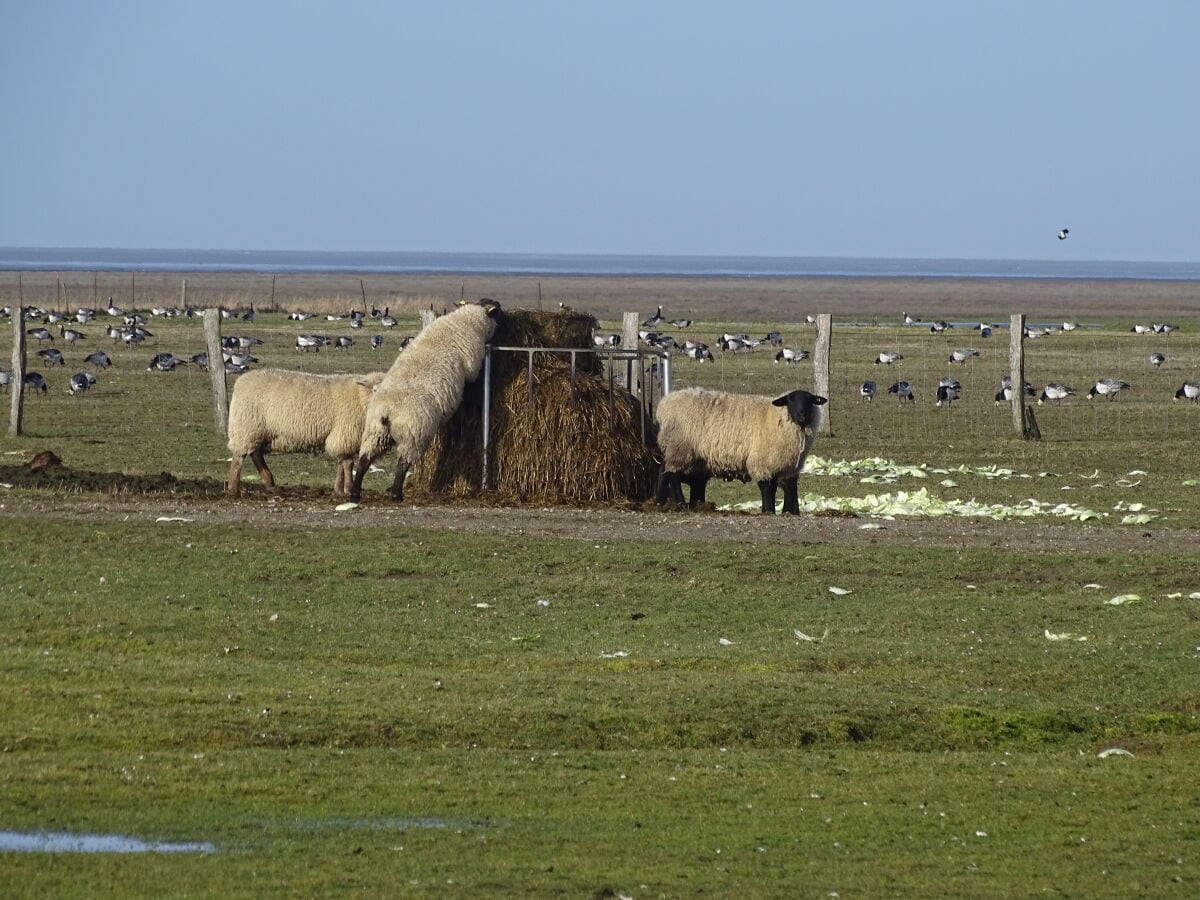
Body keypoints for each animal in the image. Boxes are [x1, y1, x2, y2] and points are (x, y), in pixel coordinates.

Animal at [226, 369, 386, 504]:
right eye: (375, 390)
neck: (360, 397)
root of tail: (241, 380)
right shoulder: (344, 433)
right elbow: (348, 464)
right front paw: (348, 489)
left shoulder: (343, 437)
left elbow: (342, 463)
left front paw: (339, 489)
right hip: (246, 427)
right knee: (239, 457)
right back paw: (233, 488)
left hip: (258, 431)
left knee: (256, 454)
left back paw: (269, 482)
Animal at [348, 300, 501, 504]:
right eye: (497, 310)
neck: (463, 321)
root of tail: (387, 411)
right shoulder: (472, 366)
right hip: (414, 433)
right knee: (402, 463)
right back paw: (396, 494)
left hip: (375, 433)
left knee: (365, 459)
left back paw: (355, 493)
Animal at [657, 386, 825, 518]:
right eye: (790, 400)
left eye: (810, 400)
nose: (802, 414)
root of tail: (665, 403)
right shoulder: (762, 462)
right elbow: (767, 488)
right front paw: (768, 510)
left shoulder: (789, 466)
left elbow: (790, 488)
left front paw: (792, 512)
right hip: (679, 449)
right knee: (673, 475)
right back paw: (680, 503)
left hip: (692, 457)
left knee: (674, 475)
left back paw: (668, 503)